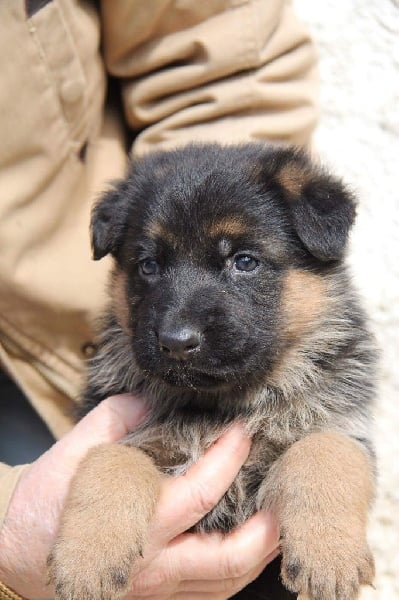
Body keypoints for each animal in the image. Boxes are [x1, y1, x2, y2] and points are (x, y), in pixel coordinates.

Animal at [49, 144, 378, 600]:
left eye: (244, 261)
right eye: (148, 265)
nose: (176, 342)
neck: (222, 403)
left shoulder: (343, 425)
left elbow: (329, 449)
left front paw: (330, 555)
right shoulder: (130, 431)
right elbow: (109, 459)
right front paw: (85, 560)